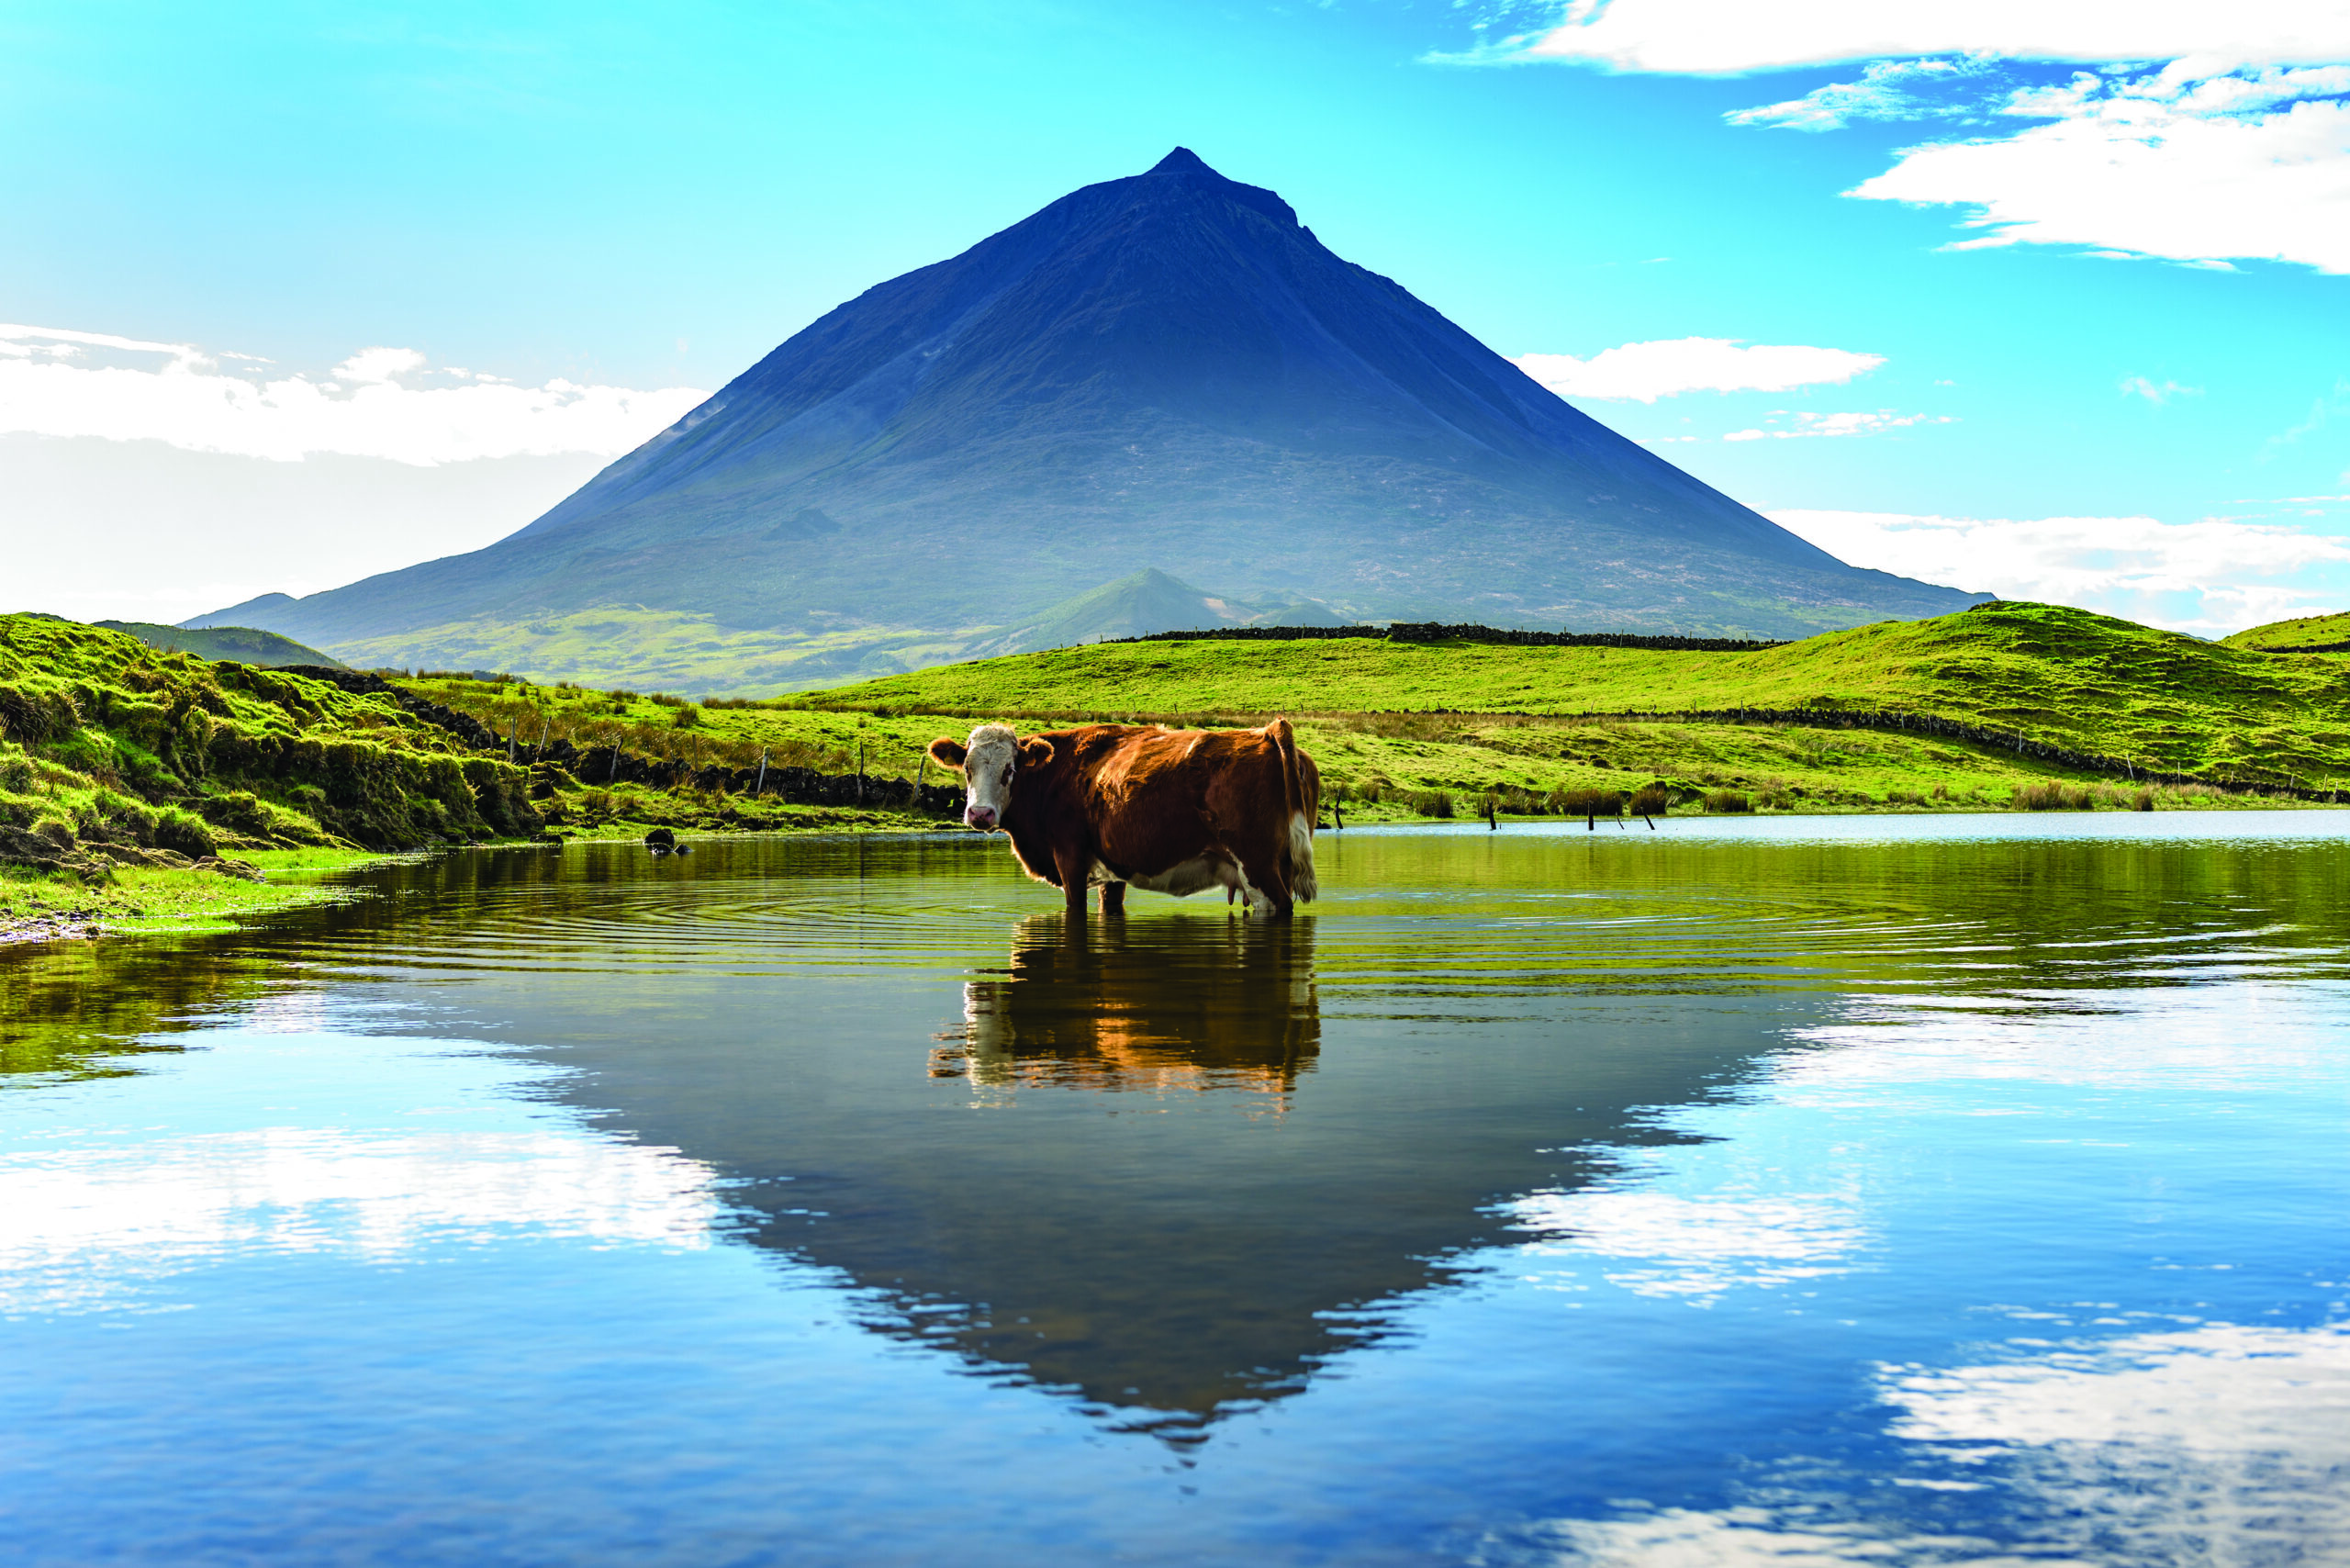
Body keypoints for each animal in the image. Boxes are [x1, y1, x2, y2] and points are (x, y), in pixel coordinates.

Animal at [927, 719, 1320, 918]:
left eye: (1010, 770)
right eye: (966, 769)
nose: (980, 813)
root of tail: (1268, 733)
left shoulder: (1069, 857)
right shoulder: (1111, 871)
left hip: (1257, 866)